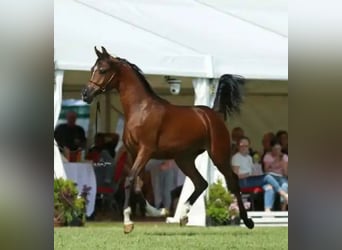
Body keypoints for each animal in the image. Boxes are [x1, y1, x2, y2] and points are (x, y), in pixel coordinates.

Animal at [82, 47, 254, 232]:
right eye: (92, 69)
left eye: (102, 70)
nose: (85, 94)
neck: (141, 109)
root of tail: (214, 114)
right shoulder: (134, 153)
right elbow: (138, 186)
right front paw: (157, 211)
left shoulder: (145, 151)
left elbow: (130, 180)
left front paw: (128, 222)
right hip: (184, 159)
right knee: (201, 183)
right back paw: (183, 216)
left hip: (218, 155)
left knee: (233, 181)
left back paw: (247, 220)